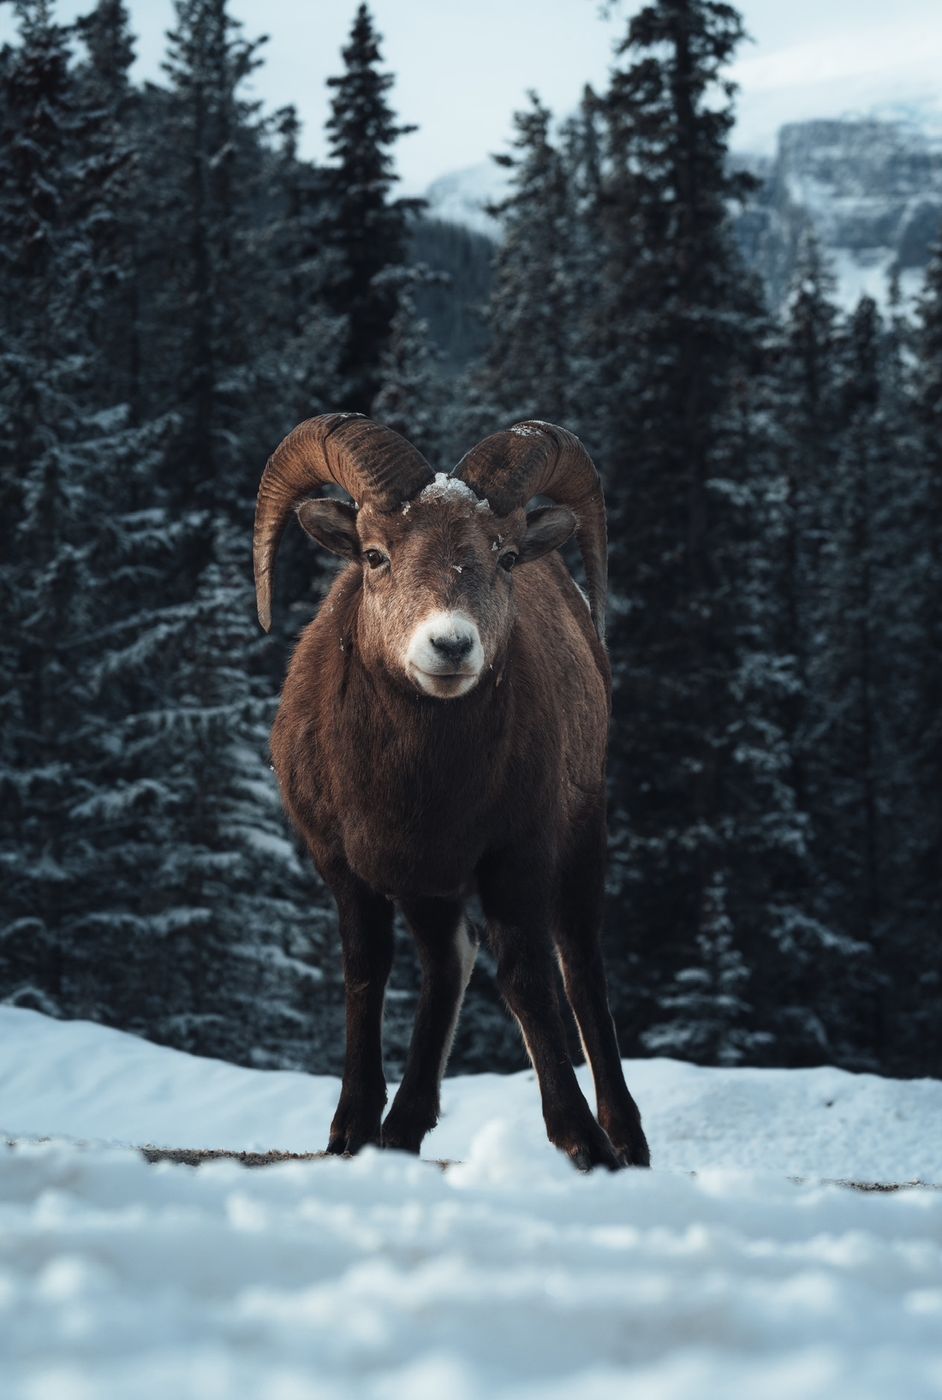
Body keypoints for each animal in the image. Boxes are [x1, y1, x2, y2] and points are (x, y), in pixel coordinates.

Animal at [253, 412, 650, 1170]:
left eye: (504, 556)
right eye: (374, 555)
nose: (450, 646)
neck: (422, 785)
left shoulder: (515, 857)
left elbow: (527, 980)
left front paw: (581, 1141)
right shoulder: (347, 870)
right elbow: (367, 973)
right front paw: (351, 1132)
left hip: (579, 844)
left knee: (579, 968)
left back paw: (626, 1141)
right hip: (428, 893)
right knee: (449, 964)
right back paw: (403, 1129)